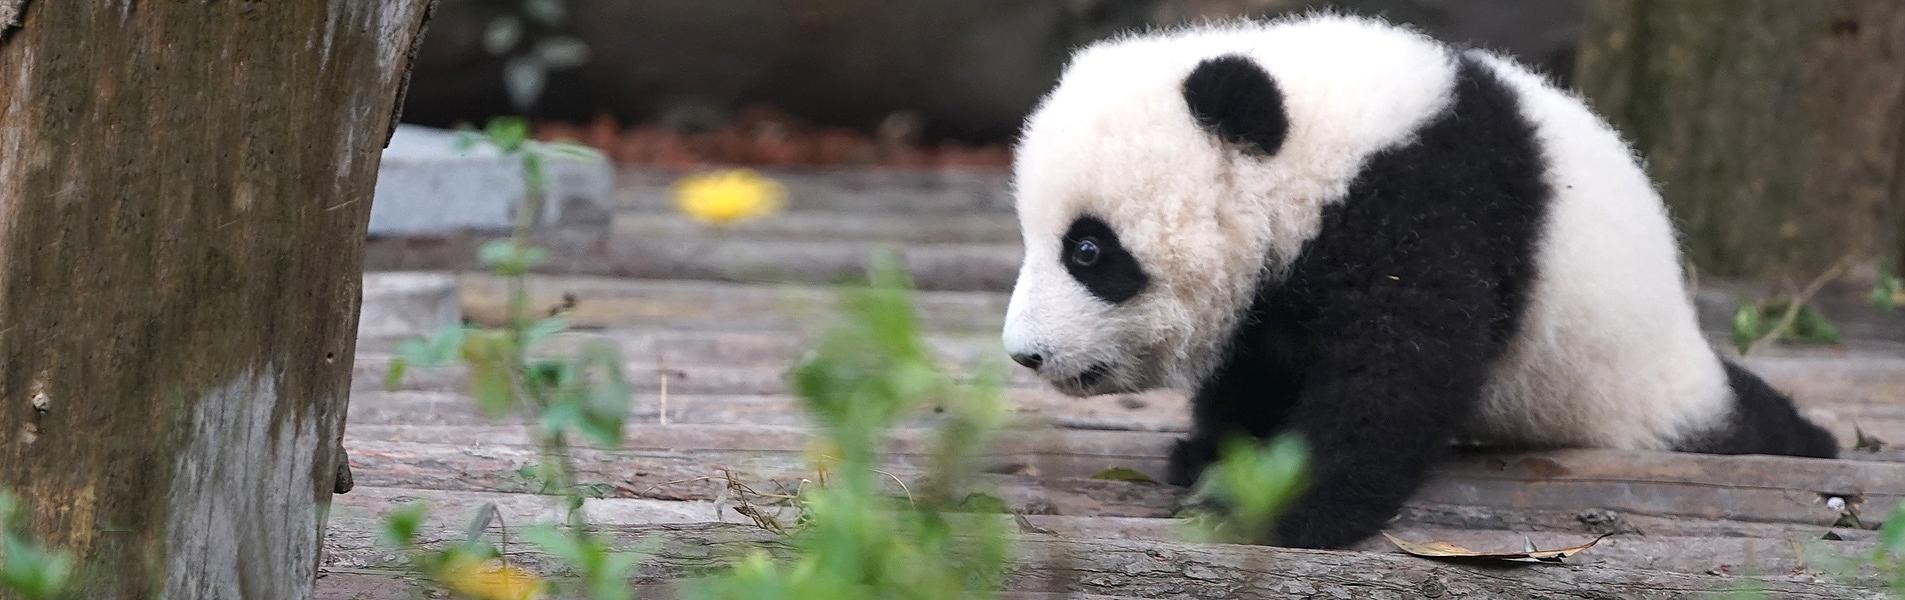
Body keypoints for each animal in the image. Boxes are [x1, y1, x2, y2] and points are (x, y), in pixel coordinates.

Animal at [999, 13, 1839, 550]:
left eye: (1087, 251)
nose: (1024, 354)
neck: (1321, 148)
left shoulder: (1429, 205)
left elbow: (1396, 372)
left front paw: (1280, 509)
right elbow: (1261, 361)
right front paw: (1214, 457)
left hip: (1628, 381)